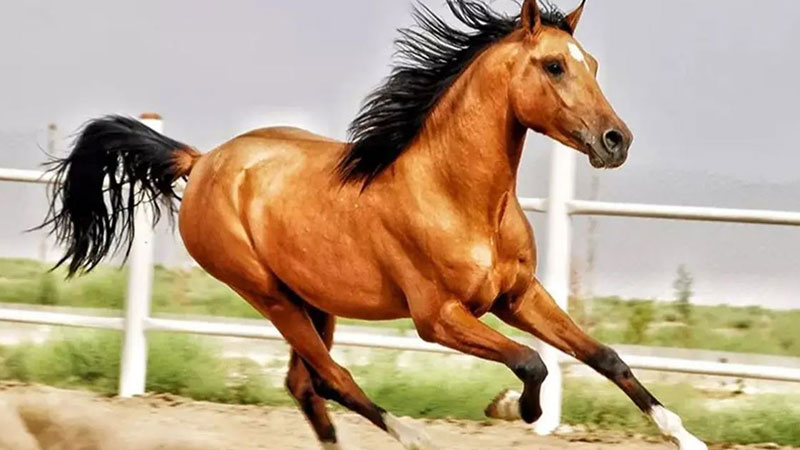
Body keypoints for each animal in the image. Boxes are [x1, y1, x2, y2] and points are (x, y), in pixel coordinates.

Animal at [40, 1, 707, 449]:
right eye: (552, 66)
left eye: (590, 62)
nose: (616, 141)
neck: (456, 196)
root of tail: (201, 161)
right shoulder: (438, 319)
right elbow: (531, 364)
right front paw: (503, 409)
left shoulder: (518, 295)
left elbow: (605, 356)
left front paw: (686, 435)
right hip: (268, 295)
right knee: (331, 379)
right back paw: (417, 438)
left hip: (316, 303)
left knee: (304, 384)